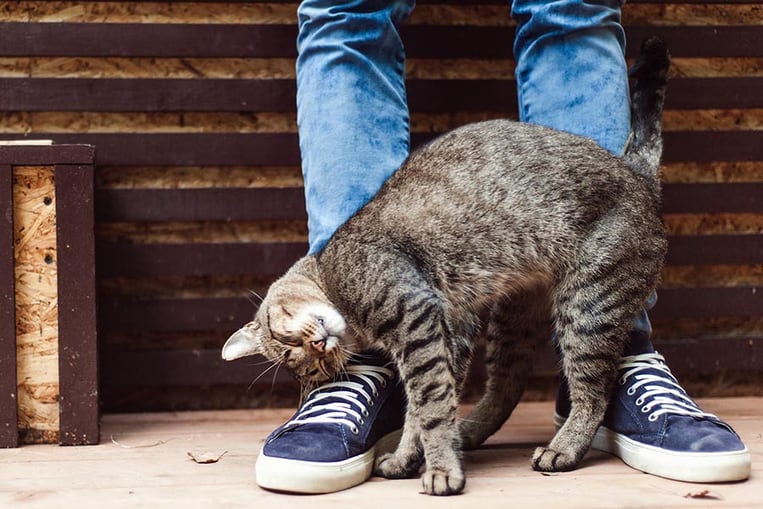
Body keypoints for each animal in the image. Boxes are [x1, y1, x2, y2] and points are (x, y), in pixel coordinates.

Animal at [224, 36, 672, 496]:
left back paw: (562, 448)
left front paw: (439, 469)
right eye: (313, 367)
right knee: (508, 384)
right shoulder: (447, 330)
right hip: (512, 317)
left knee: (594, 391)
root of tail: (635, 173)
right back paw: (472, 429)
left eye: (288, 344)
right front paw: (409, 457)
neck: (332, 276)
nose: (317, 347)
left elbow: (430, 406)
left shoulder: (417, 320)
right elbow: (423, 408)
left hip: (589, 304)